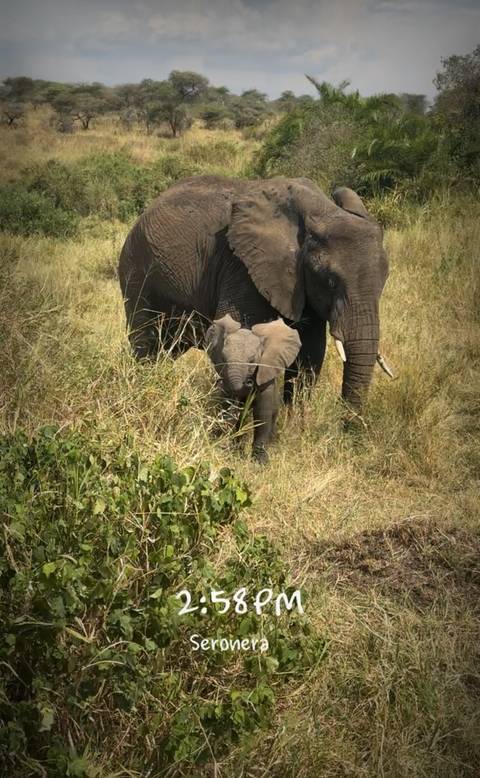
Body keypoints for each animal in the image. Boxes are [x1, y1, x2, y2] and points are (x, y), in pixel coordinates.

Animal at [119, 174, 394, 437]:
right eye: (330, 281)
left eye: (385, 280)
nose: (348, 431)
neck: (319, 211)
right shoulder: (241, 267)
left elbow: (309, 356)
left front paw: (294, 432)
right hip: (136, 272)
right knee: (145, 344)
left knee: (165, 350)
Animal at [205, 314, 301, 462]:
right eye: (224, 359)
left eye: (252, 361)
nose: (249, 382)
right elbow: (226, 406)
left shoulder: (266, 372)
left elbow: (262, 413)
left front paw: (260, 461)